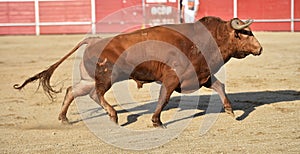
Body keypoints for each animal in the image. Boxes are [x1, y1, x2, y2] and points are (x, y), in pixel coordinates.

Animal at [14, 16, 262, 127]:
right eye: (246, 33)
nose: (260, 48)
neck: (204, 39)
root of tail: (93, 40)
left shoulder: (201, 75)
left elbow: (219, 85)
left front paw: (230, 110)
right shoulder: (172, 78)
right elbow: (163, 98)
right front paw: (156, 121)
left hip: (89, 78)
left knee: (72, 91)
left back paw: (64, 118)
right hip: (107, 77)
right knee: (96, 94)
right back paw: (113, 115)